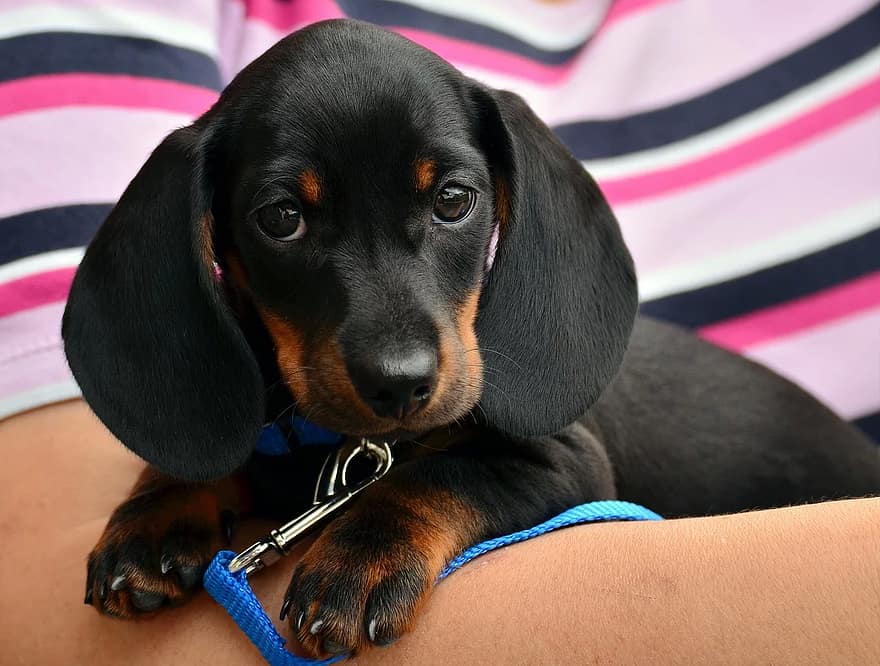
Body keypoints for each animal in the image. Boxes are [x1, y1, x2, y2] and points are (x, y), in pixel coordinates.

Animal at [63, 19, 880, 652]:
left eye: (454, 199)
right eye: (280, 217)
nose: (400, 384)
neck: (345, 450)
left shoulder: (564, 462)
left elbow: (437, 476)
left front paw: (358, 557)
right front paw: (157, 511)